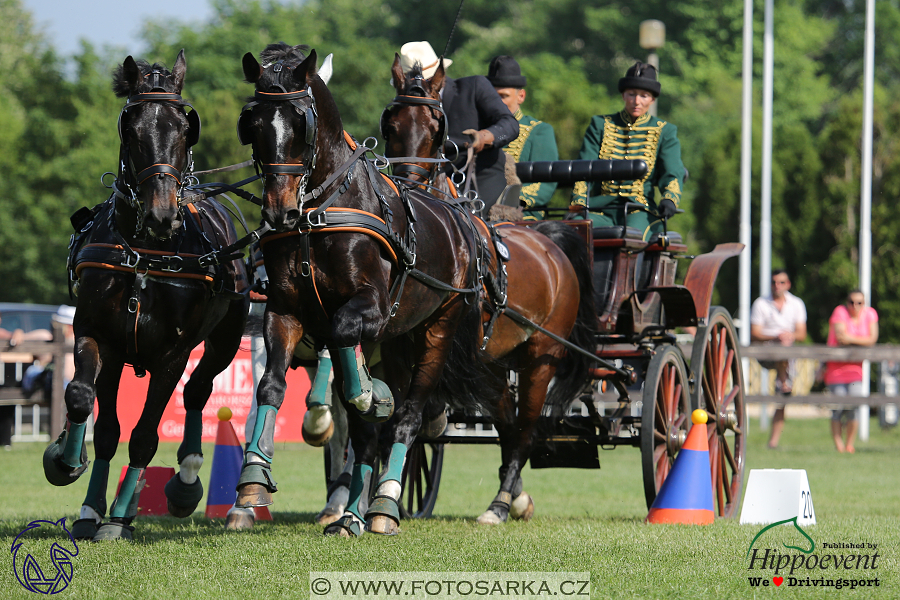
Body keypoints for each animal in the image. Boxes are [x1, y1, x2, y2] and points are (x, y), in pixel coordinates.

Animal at [43, 49, 250, 540]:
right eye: (132, 129)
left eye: (184, 128)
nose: (161, 215)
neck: (145, 253)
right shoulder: (99, 335)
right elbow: (89, 408)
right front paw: (71, 472)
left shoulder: (172, 356)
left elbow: (143, 436)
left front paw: (117, 519)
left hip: (225, 340)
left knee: (197, 392)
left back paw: (185, 481)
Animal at [236, 44, 596, 536]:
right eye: (252, 123)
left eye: (300, 121)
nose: (279, 211)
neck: (322, 214)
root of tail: (550, 241)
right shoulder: (285, 310)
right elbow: (273, 388)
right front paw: (255, 479)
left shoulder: (369, 309)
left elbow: (350, 353)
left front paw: (368, 398)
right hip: (468, 357)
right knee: (496, 420)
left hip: (517, 351)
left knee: (506, 428)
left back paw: (437, 504)